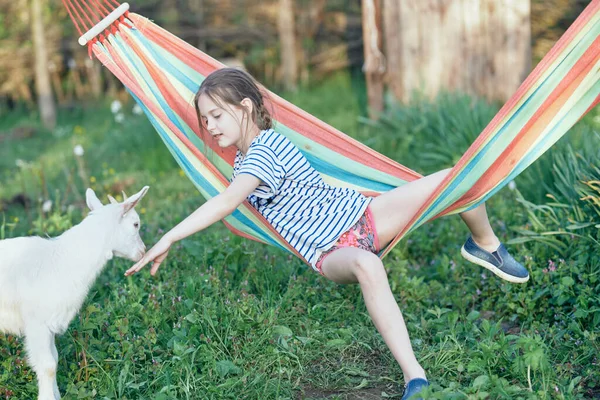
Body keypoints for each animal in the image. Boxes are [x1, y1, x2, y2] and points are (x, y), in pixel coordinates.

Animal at [0, 186, 149, 398]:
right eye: (136, 224)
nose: (143, 251)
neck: (63, 260)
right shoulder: (36, 323)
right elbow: (48, 365)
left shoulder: (50, 322)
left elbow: (54, 359)